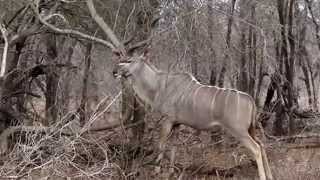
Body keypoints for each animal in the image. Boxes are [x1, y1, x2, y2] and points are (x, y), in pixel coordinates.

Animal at [112, 54, 272, 180]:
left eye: (129, 60)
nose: (114, 71)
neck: (160, 85)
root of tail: (250, 99)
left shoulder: (168, 120)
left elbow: (161, 145)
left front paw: (156, 171)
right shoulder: (177, 123)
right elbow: (173, 147)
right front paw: (170, 172)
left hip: (238, 131)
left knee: (256, 148)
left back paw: (263, 177)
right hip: (250, 130)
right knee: (262, 145)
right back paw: (270, 176)